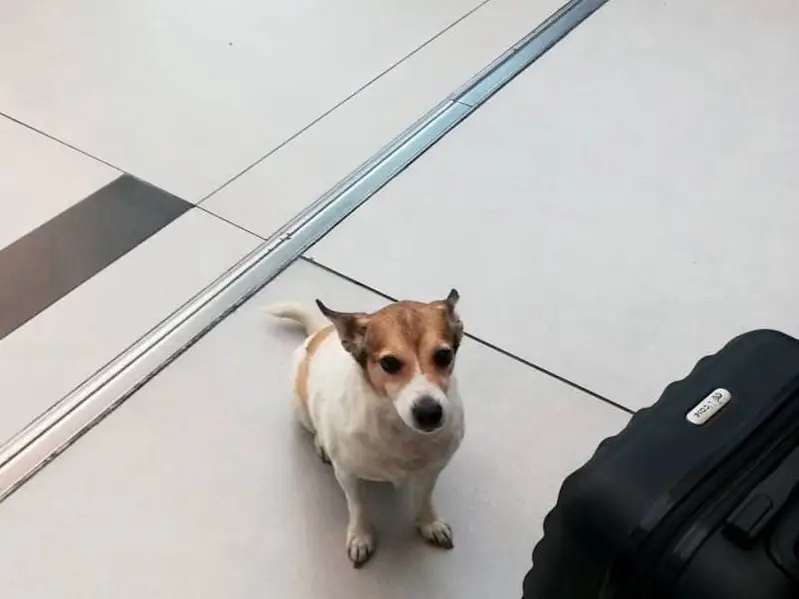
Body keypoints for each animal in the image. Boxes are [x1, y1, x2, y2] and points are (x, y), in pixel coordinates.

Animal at [266, 290, 465, 567]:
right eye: (389, 363)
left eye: (444, 355)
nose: (429, 413)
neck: (399, 429)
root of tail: (320, 332)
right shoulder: (347, 475)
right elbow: (358, 506)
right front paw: (361, 536)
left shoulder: (433, 469)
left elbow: (424, 497)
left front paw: (429, 522)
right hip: (301, 408)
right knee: (313, 427)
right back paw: (321, 443)